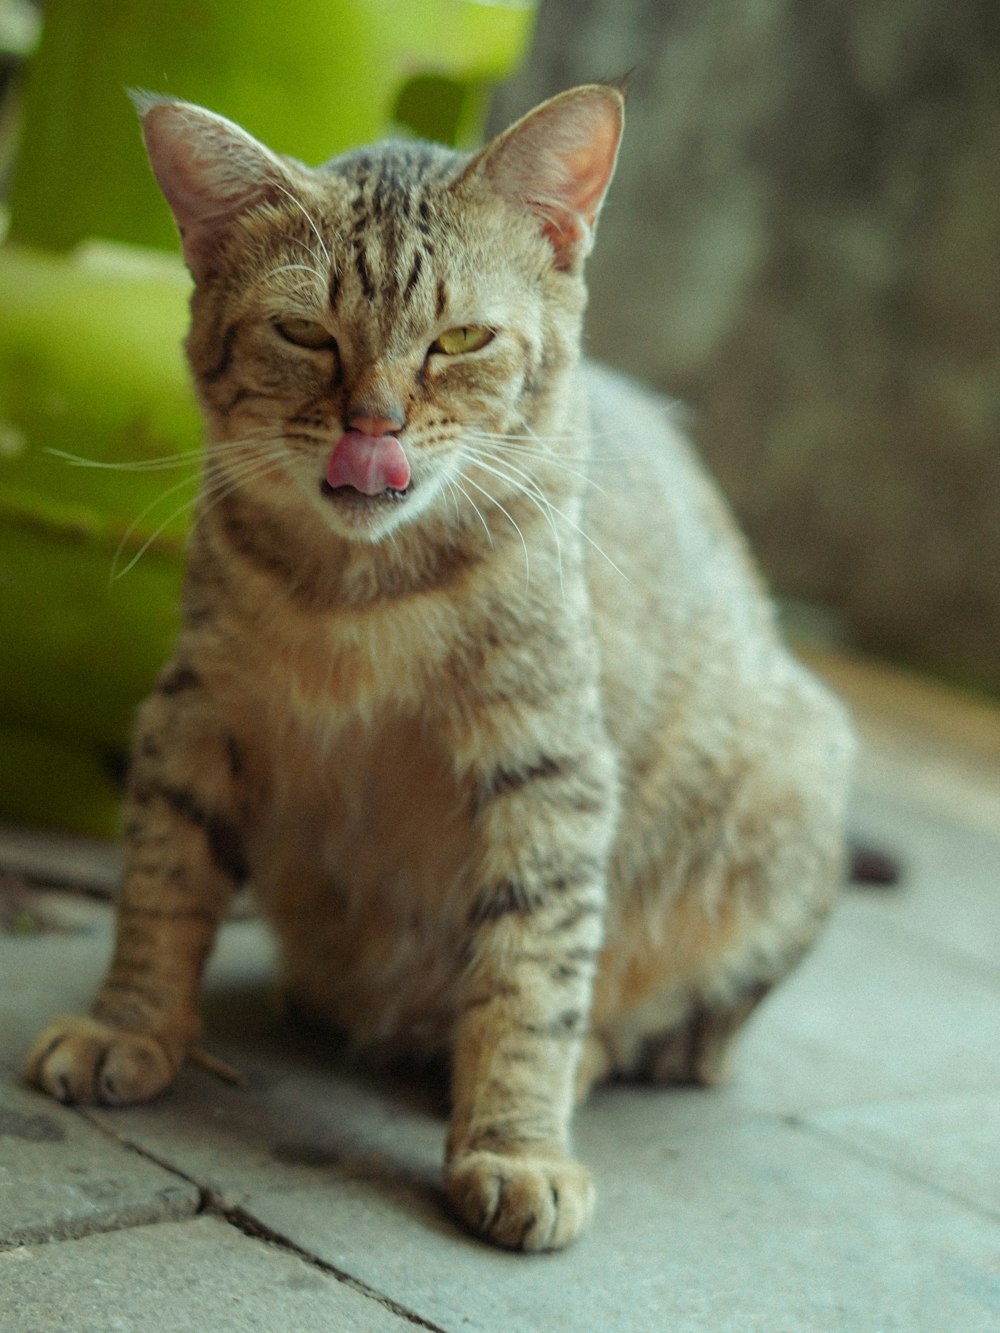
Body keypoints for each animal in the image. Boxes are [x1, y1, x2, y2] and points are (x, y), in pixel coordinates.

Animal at [25, 83, 853, 1247]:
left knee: (667, 1034)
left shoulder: (550, 761)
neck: (356, 600)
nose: (372, 424)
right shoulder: (195, 710)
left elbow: (531, 969)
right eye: (302, 331)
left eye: (460, 340)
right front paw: (131, 1025)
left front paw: (515, 1143)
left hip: (786, 797)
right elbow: (162, 880)